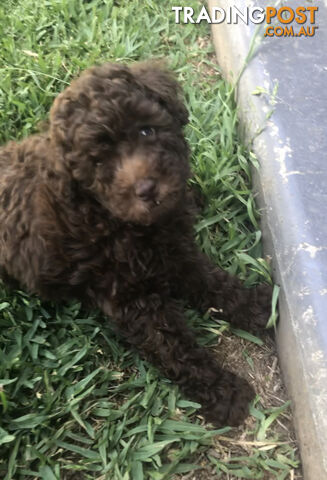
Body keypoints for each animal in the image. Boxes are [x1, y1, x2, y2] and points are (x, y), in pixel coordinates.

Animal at [0, 62, 272, 426]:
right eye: (98, 162)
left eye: (146, 131)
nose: (147, 189)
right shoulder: (132, 298)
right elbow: (173, 346)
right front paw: (221, 391)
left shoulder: (176, 253)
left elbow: (215, 284)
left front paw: (256, 306)